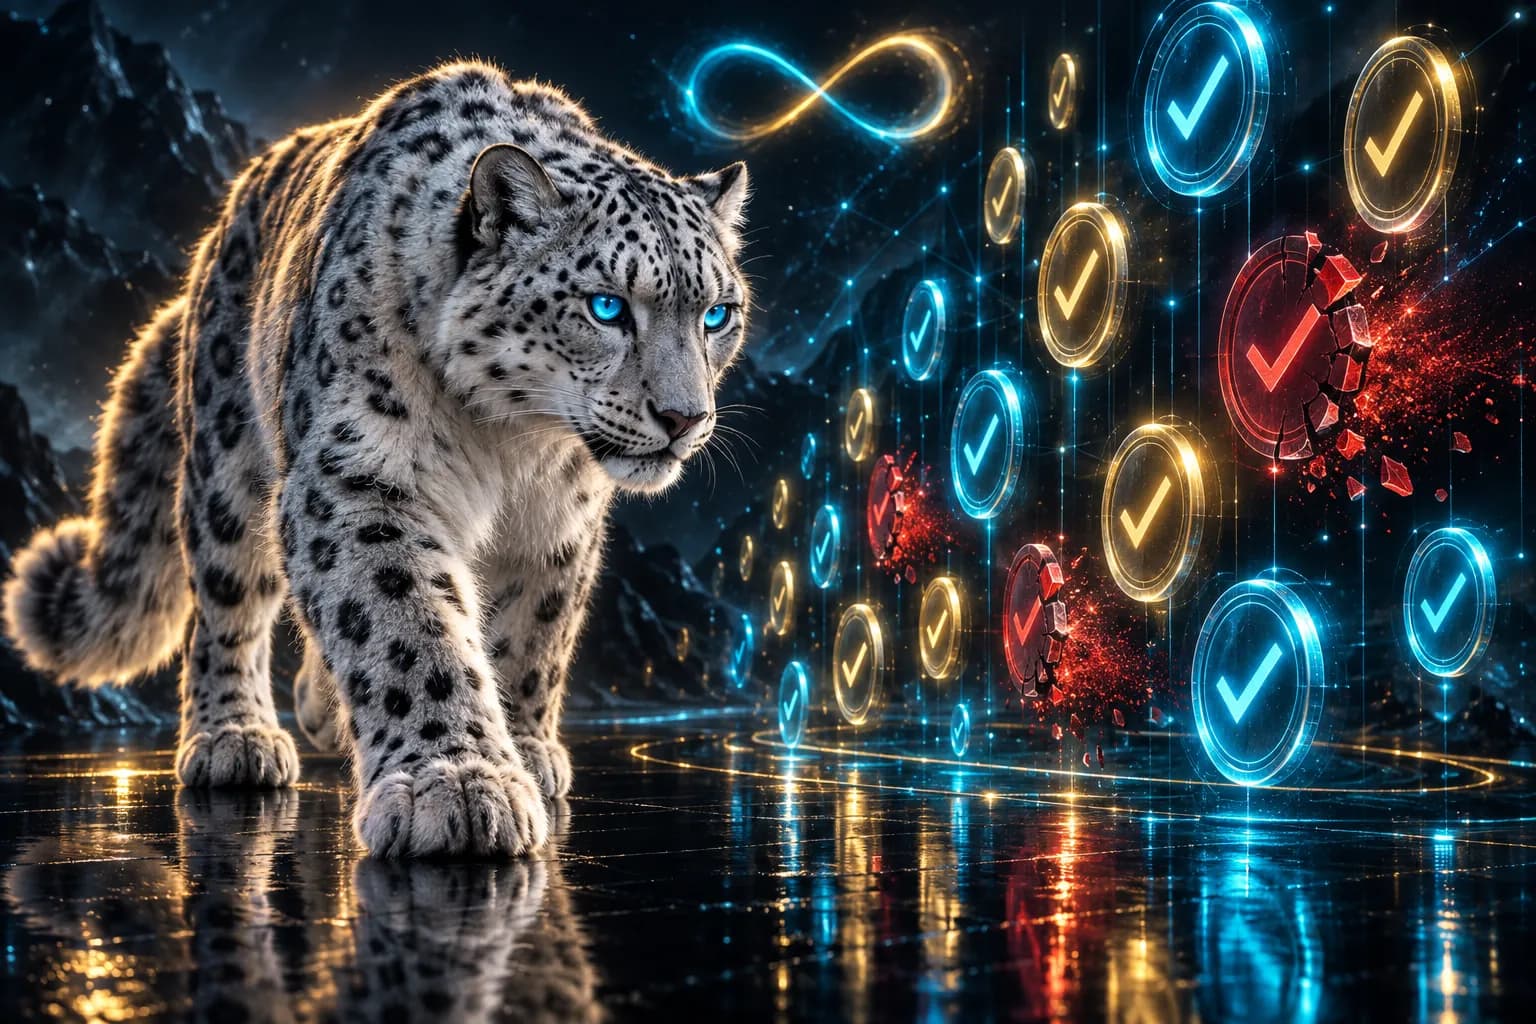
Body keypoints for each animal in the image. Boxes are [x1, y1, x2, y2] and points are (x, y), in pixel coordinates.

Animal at [1, 60, 751, 859]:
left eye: (717, 314)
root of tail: (214, 240)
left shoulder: (559, 523)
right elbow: (406, 623)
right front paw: (456, 784)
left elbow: (534, 635)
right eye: (606, 306)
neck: (516, 443)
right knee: (226, 604)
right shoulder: (359, 476)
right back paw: (235, 737)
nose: (685, 418)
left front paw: (523, 747)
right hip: (227, 469)